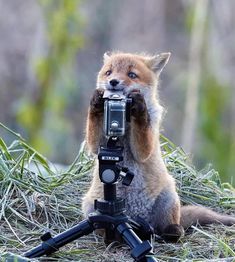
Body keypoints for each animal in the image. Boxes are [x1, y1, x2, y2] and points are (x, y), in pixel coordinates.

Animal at [81, 51, 235, 242]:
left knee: (165, 228)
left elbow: (143, 135)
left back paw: (172, 231)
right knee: (101, 224)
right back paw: (108, 235)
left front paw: (140, 107)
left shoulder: (145, 145)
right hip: (90, 205)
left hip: (169, 198)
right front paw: (95, 101)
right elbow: (94, 138)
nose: (113, 82)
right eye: (108, 72)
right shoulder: (97, 146)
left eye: (132, 75)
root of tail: (135, 223)